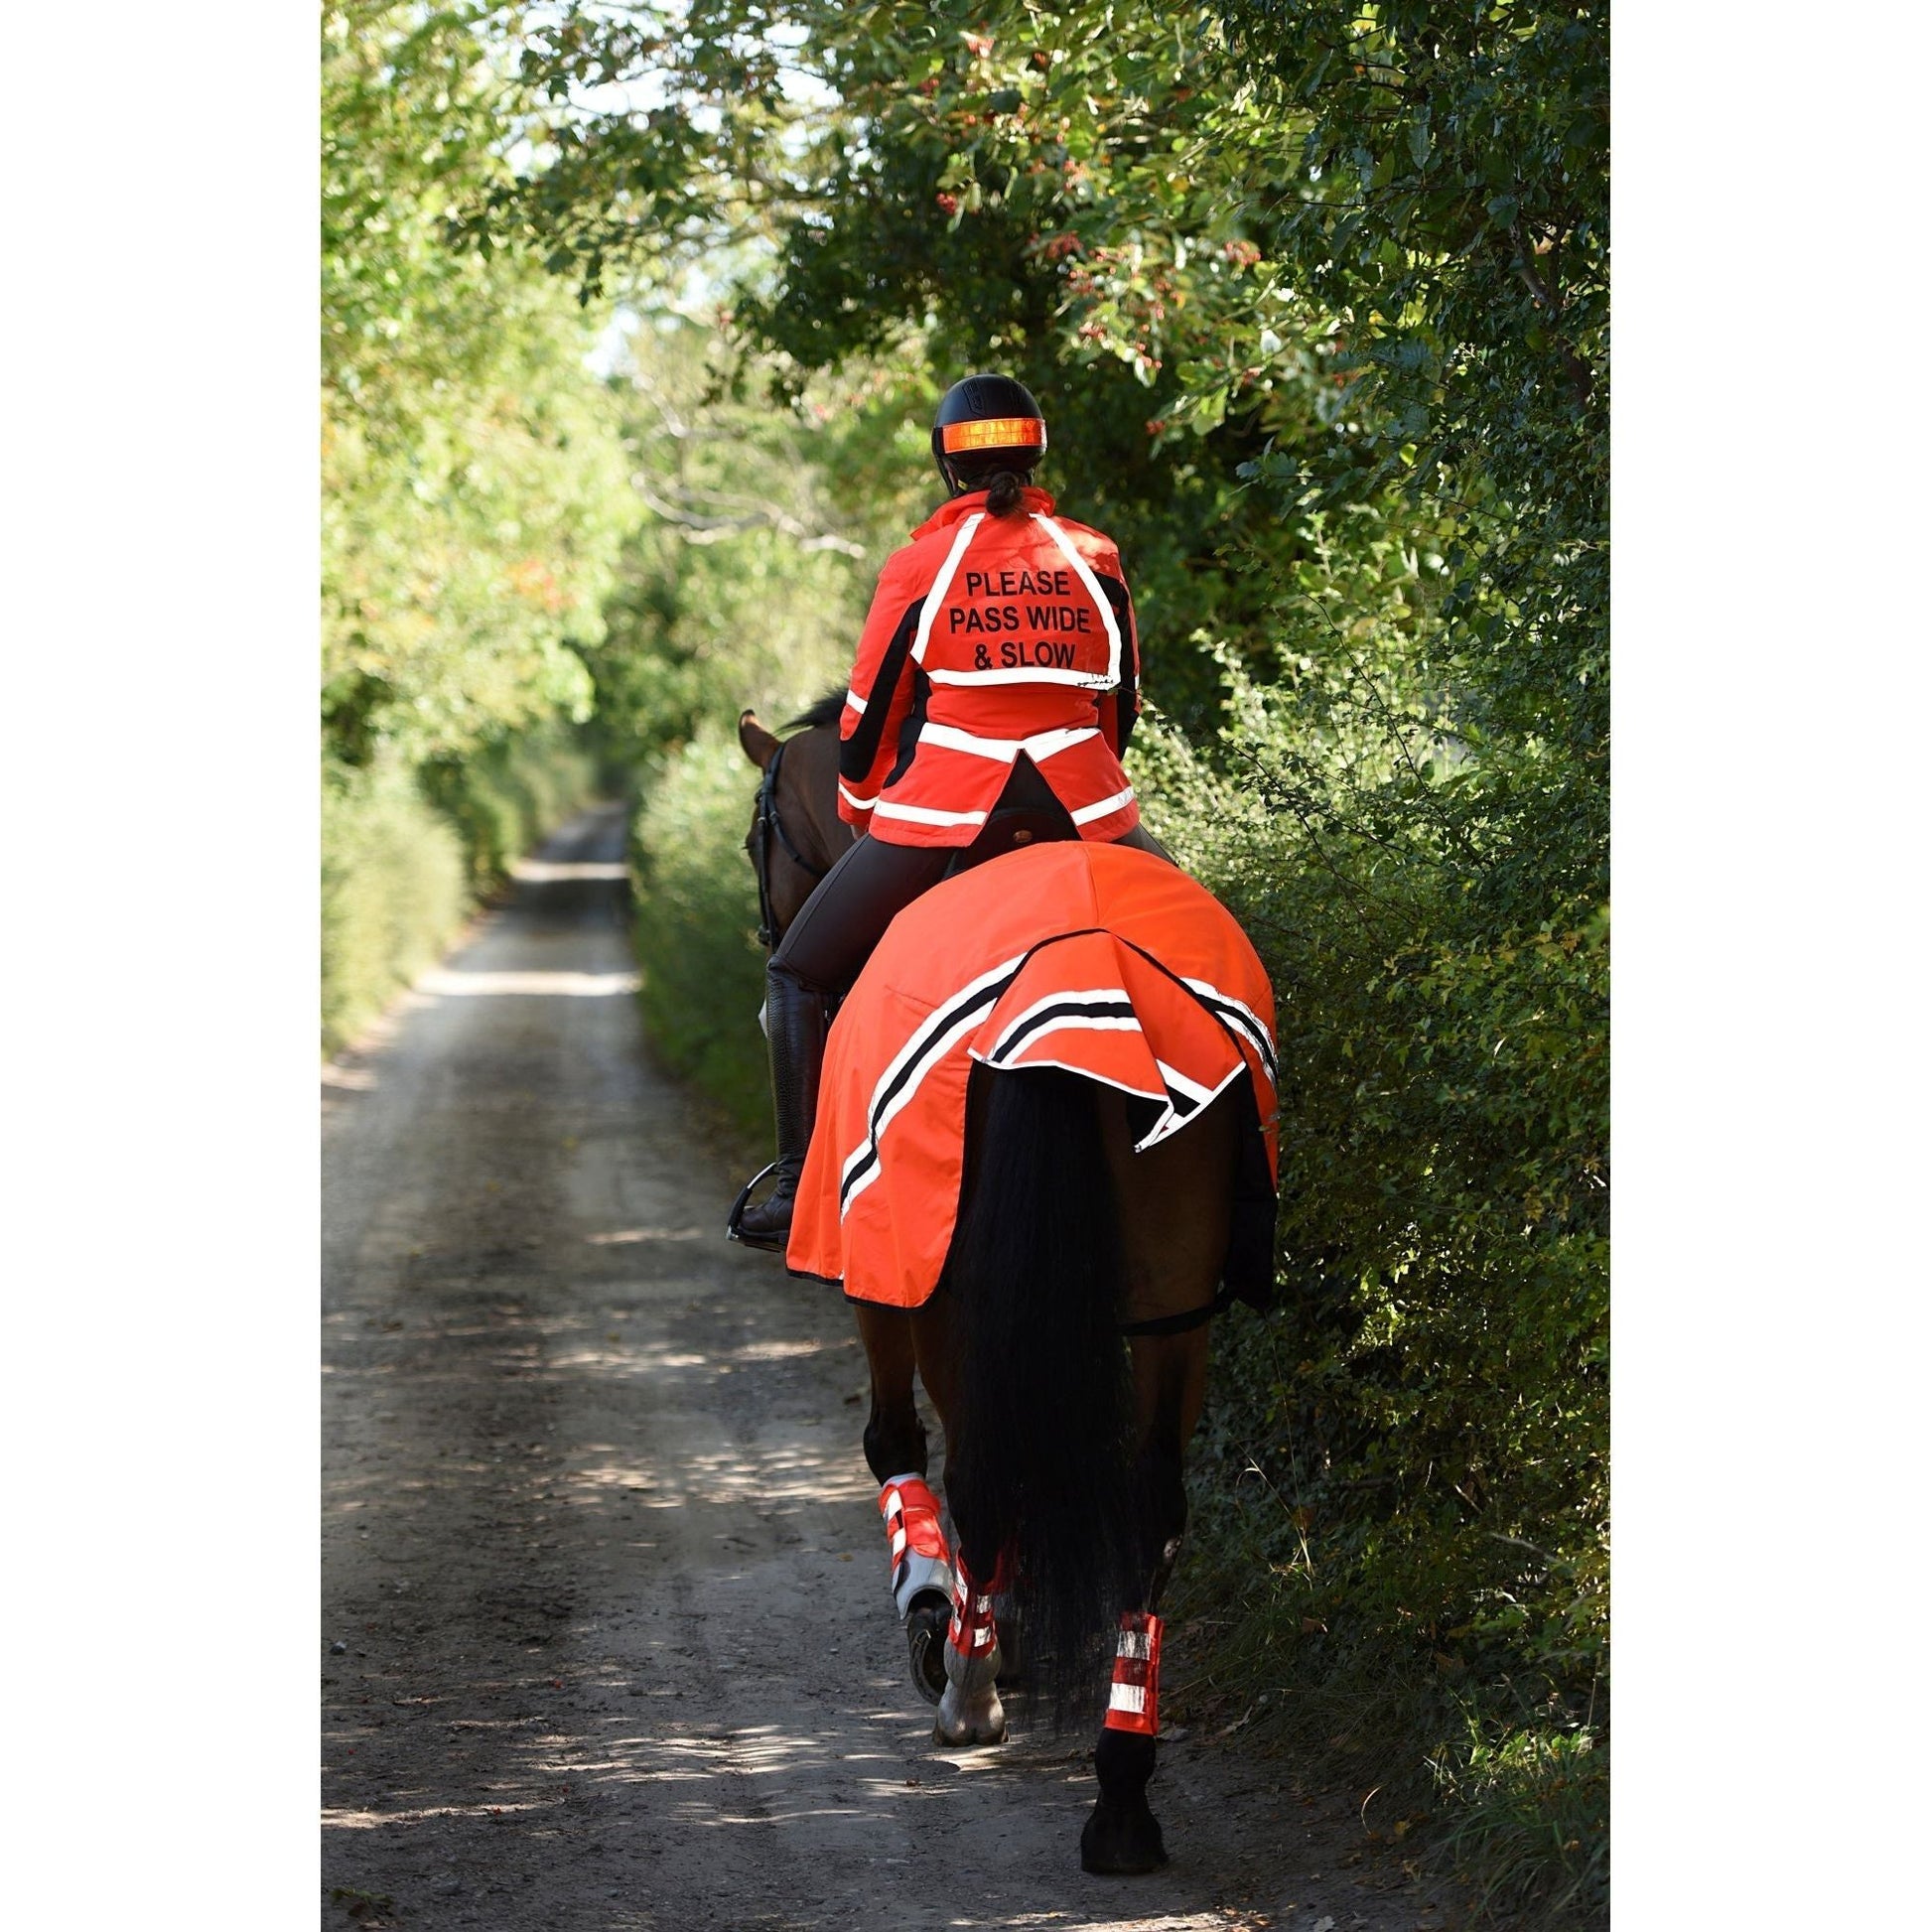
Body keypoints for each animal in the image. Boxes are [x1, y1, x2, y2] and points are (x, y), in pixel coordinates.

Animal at [738, 695, 1252, 1869]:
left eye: (754, 840)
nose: (764, 932)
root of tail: (1076, 972)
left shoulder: (893, 1272)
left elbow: (895, 1439)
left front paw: (942, 1612)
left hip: (953, 1287)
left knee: (976, 1467)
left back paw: (968, 1691)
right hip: (1175, 1302)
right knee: (1151, 1501)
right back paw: (1119, 1791)